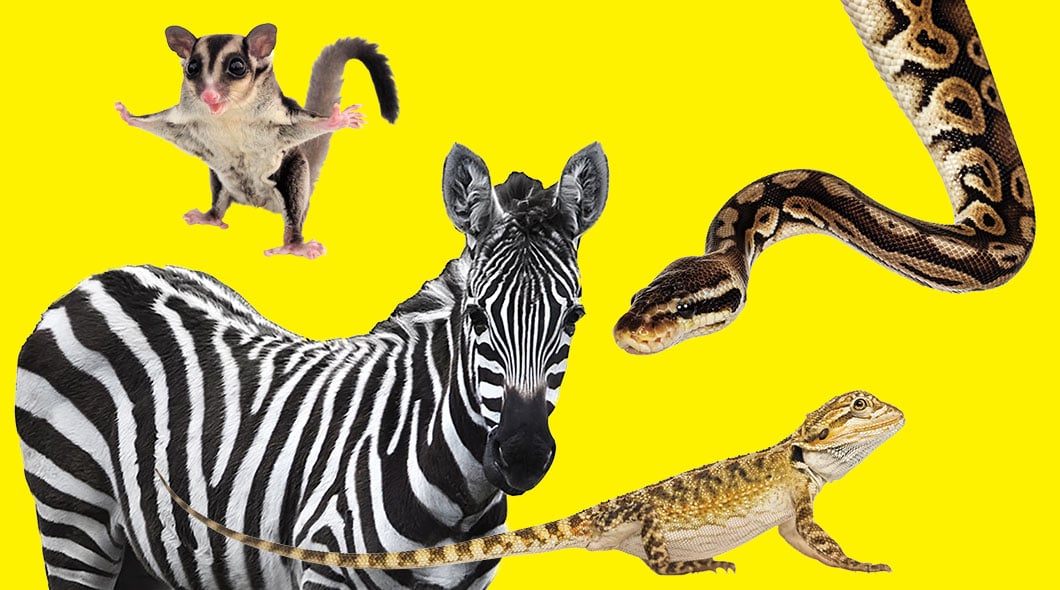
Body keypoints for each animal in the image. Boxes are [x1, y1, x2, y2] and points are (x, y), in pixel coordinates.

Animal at [15, 142, 609, 590]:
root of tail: (103, 277)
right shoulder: (323, 567)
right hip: (73, 522)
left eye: (574, 317)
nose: (523, 455)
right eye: (478, 313)